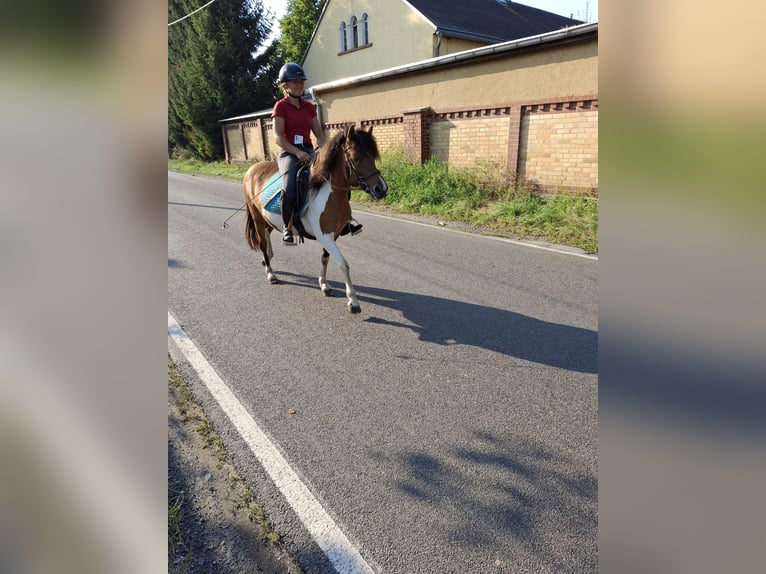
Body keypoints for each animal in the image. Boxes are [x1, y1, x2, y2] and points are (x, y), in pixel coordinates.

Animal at [244, 125, 390, 316]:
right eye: (356, 158)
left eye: (373, 157)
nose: (381, 189)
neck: (330, 193)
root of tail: (252, 169)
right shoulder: (325, 236)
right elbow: (343, 264)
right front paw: (353, 301)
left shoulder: (332, 235)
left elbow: (325, 259)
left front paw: (324, 285)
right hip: (257, 219)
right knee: (261, 242)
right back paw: (270, 273)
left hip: (266, 220)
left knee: (267, 237)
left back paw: (267, 258)